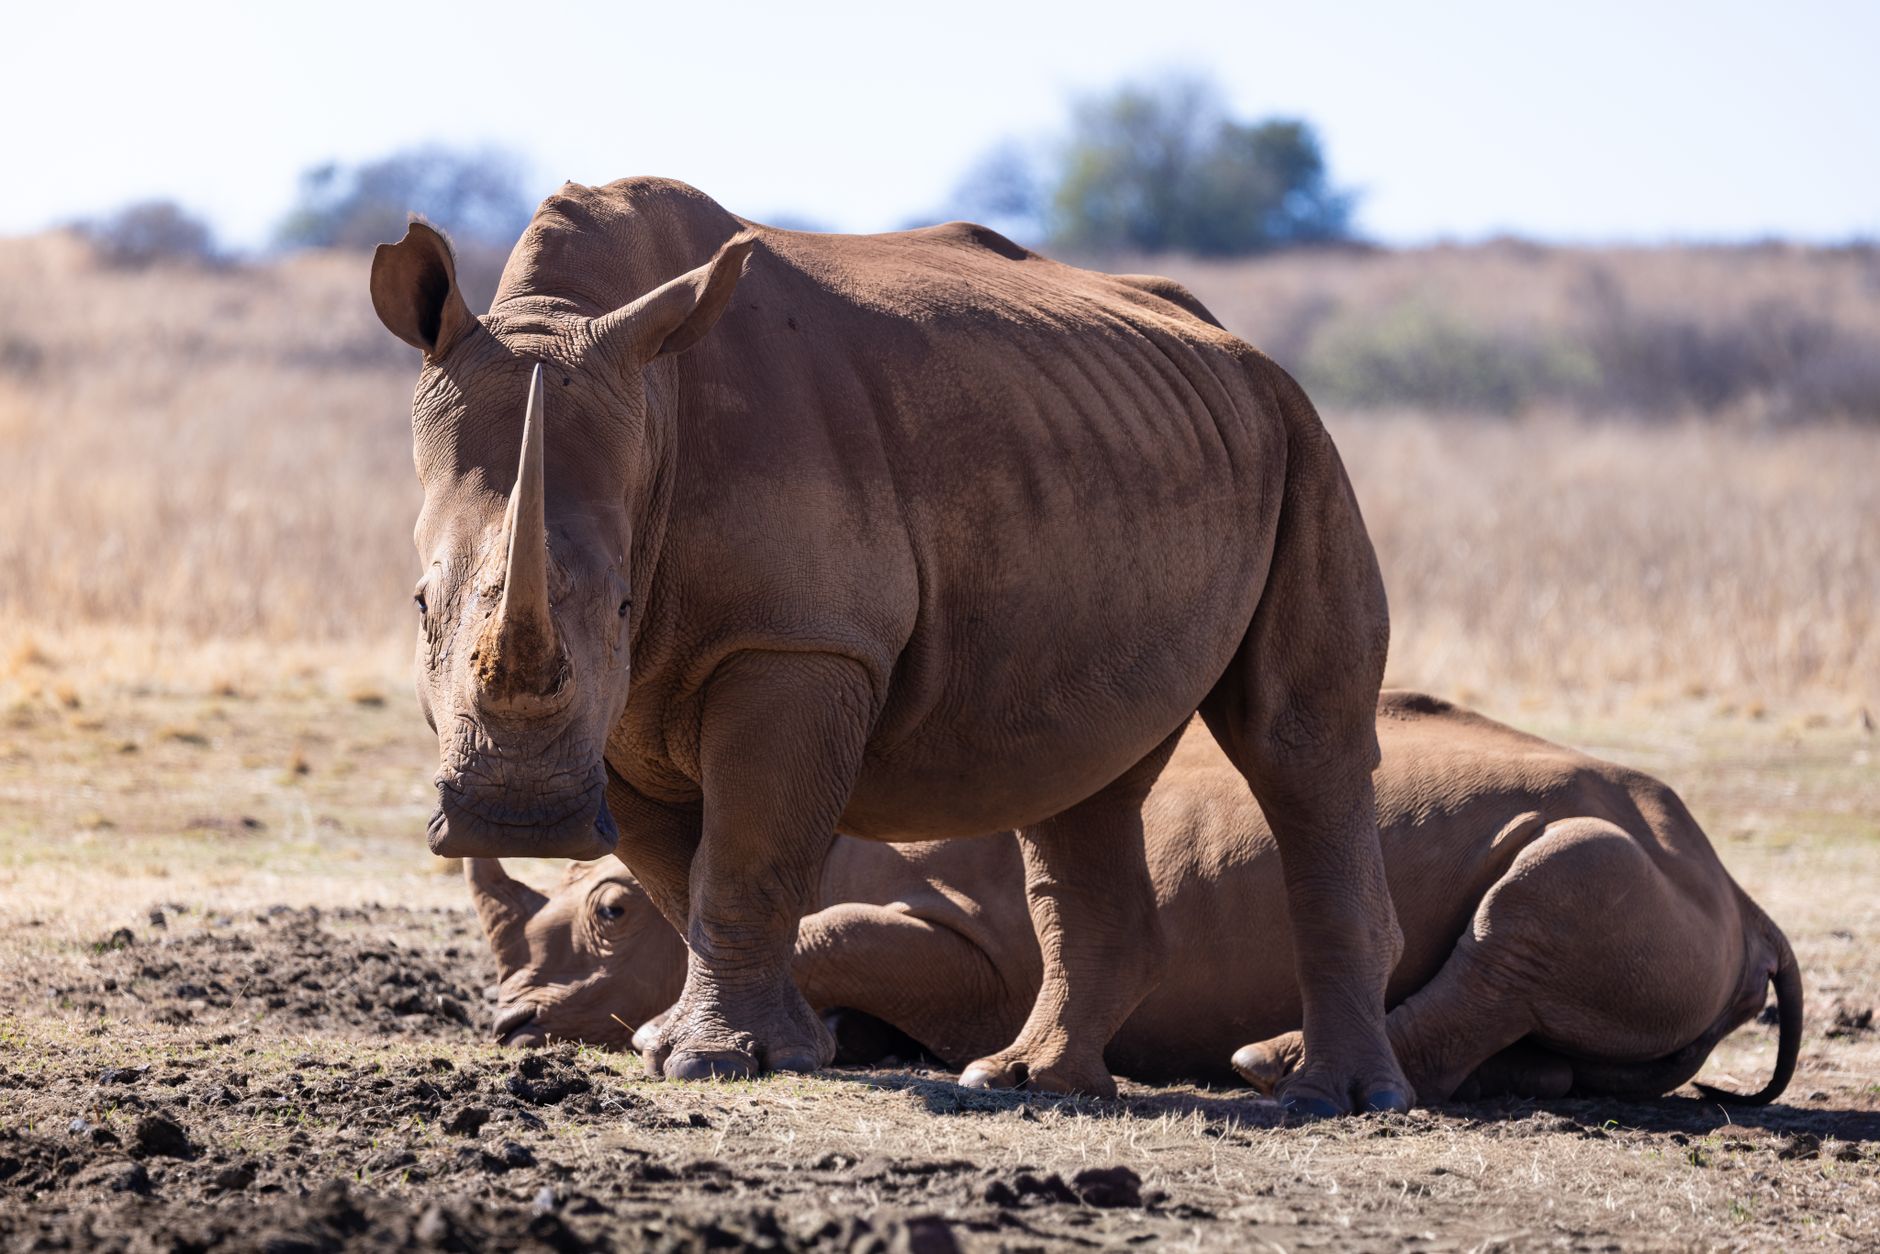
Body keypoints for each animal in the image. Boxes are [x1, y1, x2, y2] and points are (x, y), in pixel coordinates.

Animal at [371, 178, 1403, 1113]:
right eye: (419, 606)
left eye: (624, 607)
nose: (518, 819)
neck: (581, 326)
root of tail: (1243, 349)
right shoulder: (618, 715)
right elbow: (675, 869)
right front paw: (740, 1048)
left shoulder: (801, 643)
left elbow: (744, 853)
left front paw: (724, 1060)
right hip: (1126, 439)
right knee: (1078, 769)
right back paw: (1028, 1082)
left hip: (1302, 437)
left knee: (1297, 741)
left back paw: (1334, 1097)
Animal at [469, 693, 1801, 1106]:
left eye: (612, 913)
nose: (506, 1025)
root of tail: (1745, 896)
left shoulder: (972, 946)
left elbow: (840, 935)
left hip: (1638, 856)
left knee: (1543, 889)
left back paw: (1267, 1068)